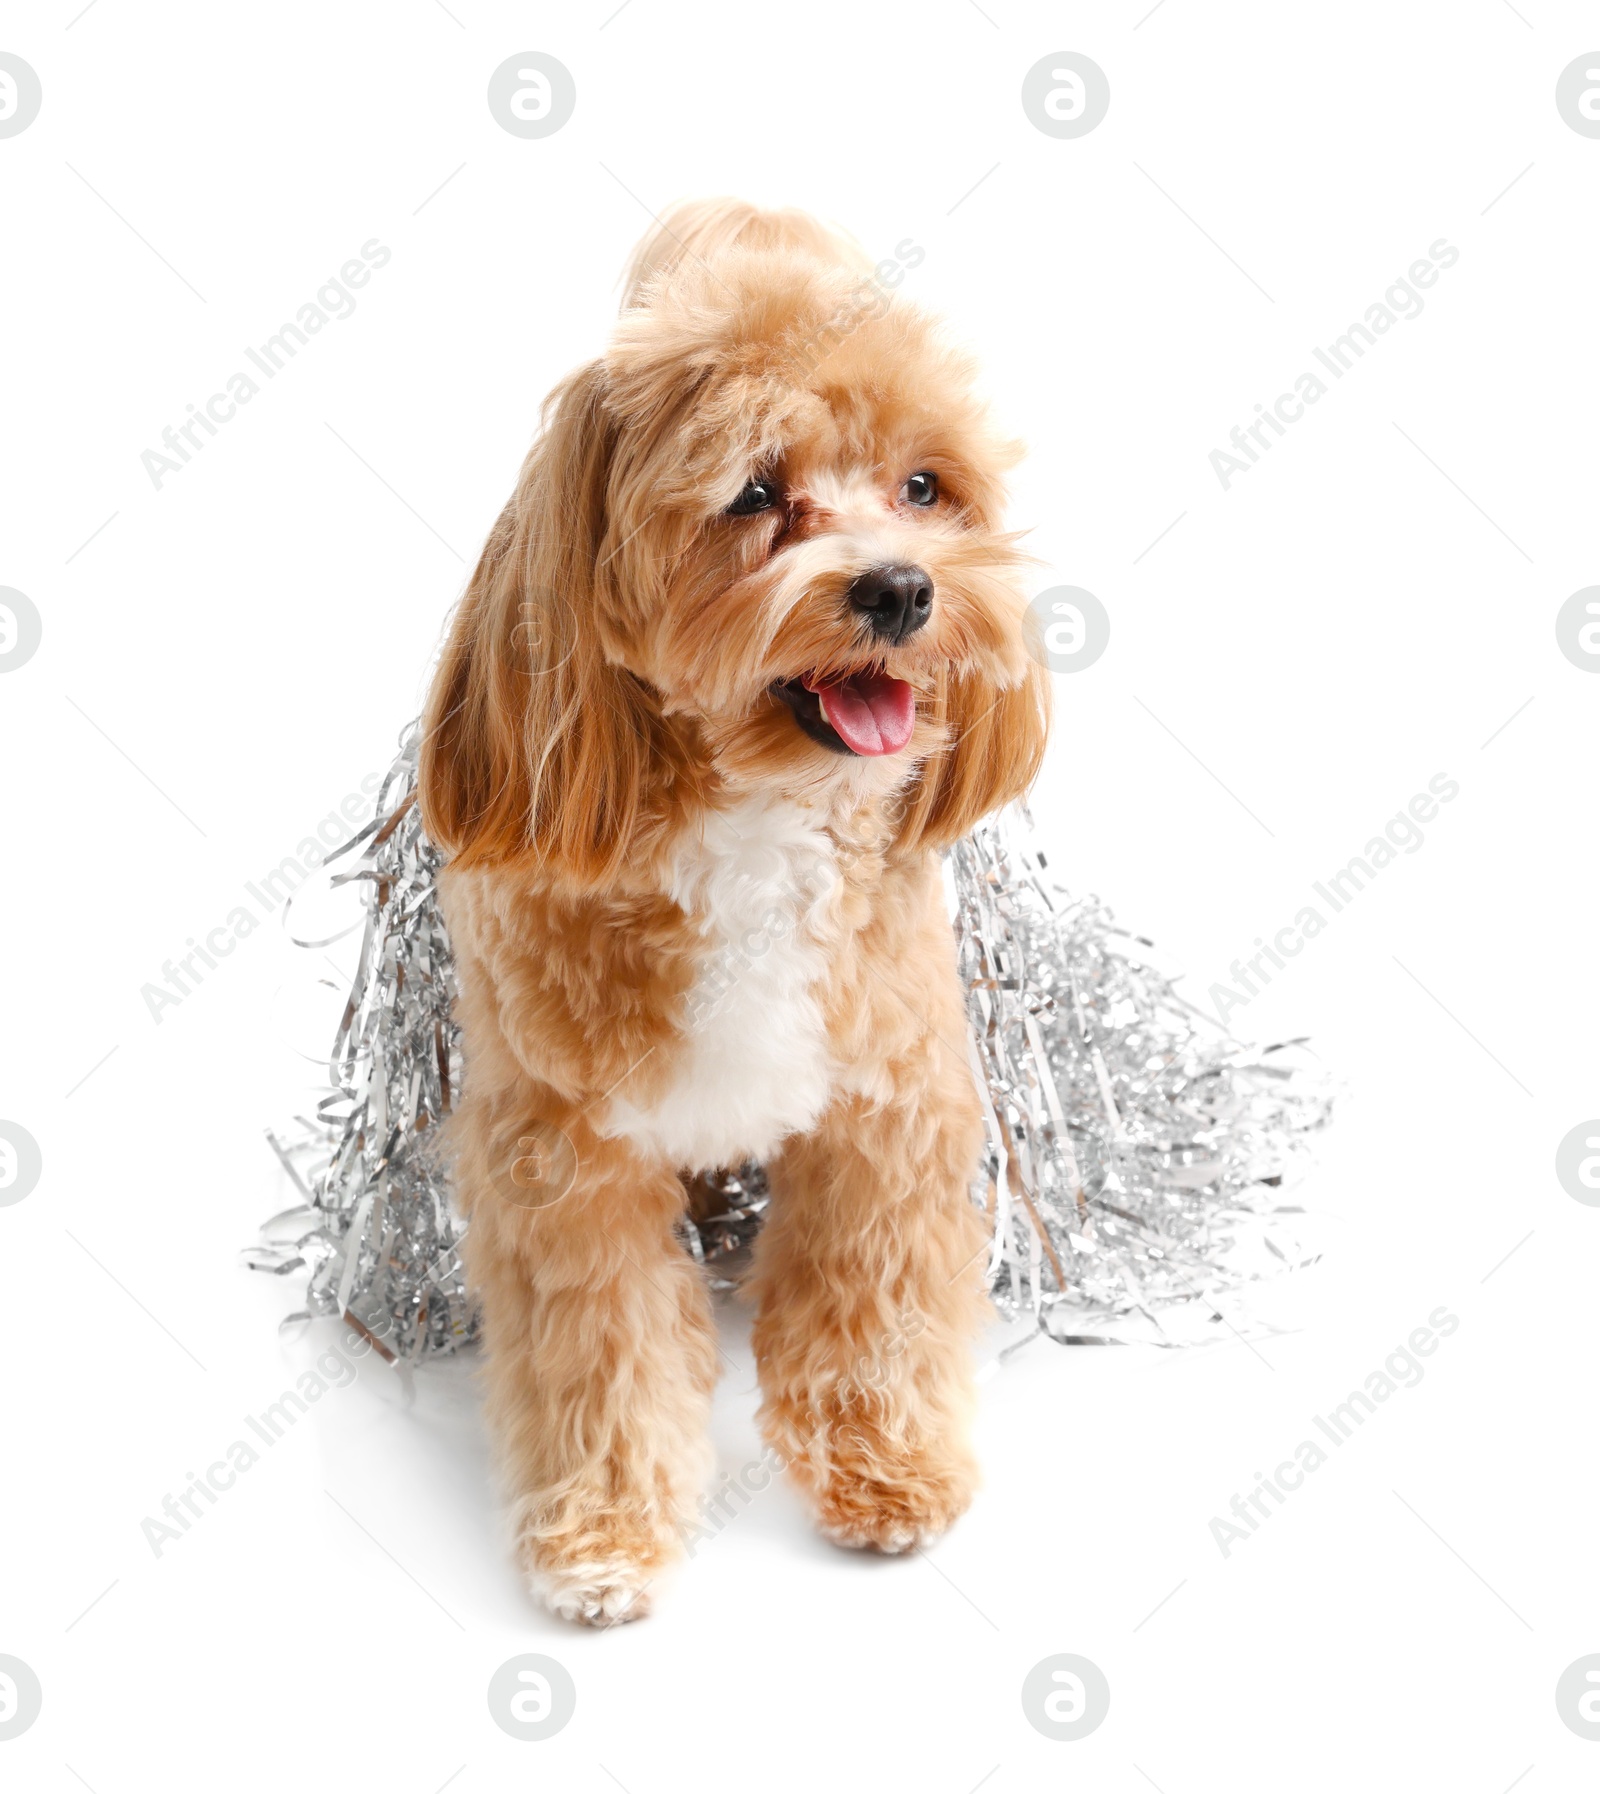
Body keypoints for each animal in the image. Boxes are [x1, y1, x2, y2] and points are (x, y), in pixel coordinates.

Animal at [417, 200, 1047, 1628]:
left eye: (924, 488)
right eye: (755, 493)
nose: (900, 590)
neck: (755, 818)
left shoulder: (885, 1107)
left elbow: (870, 1304)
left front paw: (886, 1465)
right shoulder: (562, 1157)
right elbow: (600, 1354)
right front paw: (600, 1530)